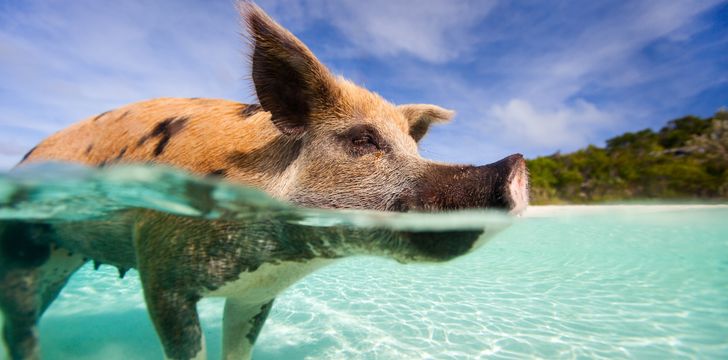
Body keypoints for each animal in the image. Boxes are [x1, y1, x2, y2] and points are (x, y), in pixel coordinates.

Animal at [0, 2, 528, 360]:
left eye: (415, 150)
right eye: (362, 140)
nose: (516, 164)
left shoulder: (256, 292)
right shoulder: (158, 270)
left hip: (62, 257)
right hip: (23, 247)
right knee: (20, 325)